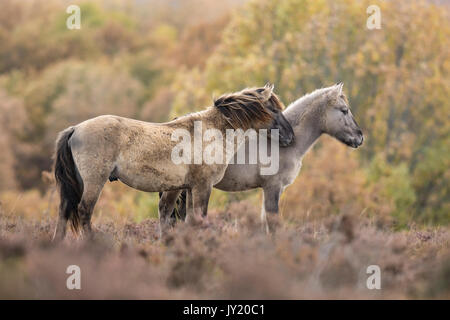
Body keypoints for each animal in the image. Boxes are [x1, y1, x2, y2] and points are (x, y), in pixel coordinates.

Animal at [160, 82, 364, 232]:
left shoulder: (276, 190)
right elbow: (273, 225)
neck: (280, 146)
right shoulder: (272, 187)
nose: (360, 138)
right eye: (344, 110)